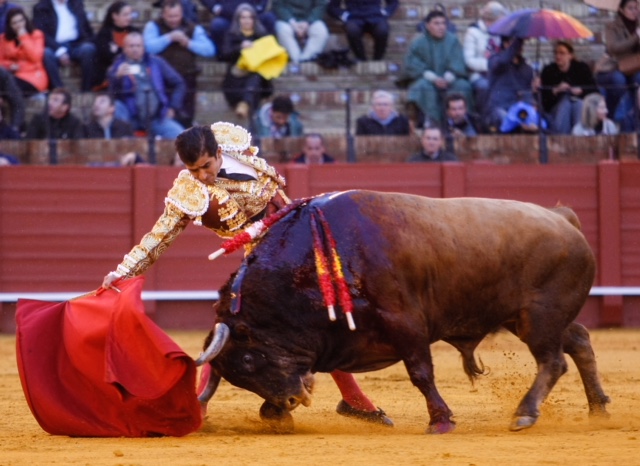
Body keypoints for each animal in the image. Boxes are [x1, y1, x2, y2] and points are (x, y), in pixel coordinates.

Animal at [196, 190, 610, 434]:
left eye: (248, 360)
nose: (289, 402)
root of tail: (563, 217)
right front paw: (274, 414)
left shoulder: (406, 323)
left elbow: (421, 373)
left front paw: (441, 420)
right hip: (530, 318)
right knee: (580, 342)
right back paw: (598, 409)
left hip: (541, 317)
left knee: (553, 361)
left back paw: (525, 413)